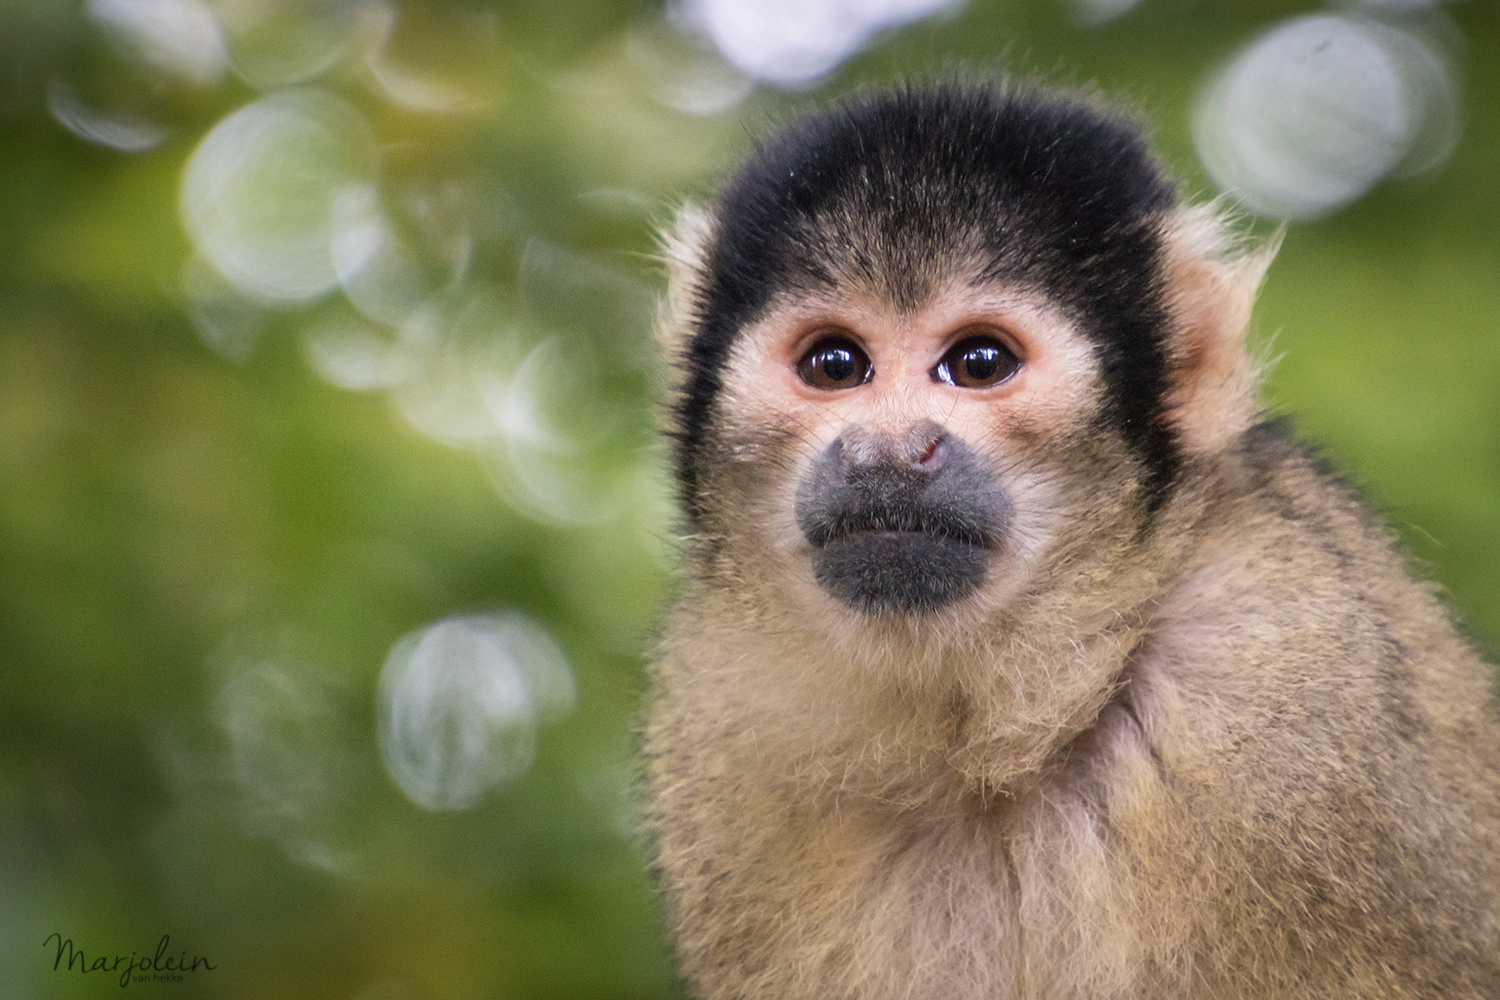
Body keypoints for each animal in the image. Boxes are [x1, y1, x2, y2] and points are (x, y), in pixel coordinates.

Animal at [641, 82, 1500, 1000]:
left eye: (979, 363)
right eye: (835, 365)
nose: (889, 452)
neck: (1017, 724)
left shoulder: (1295, 708)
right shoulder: (716, 736)